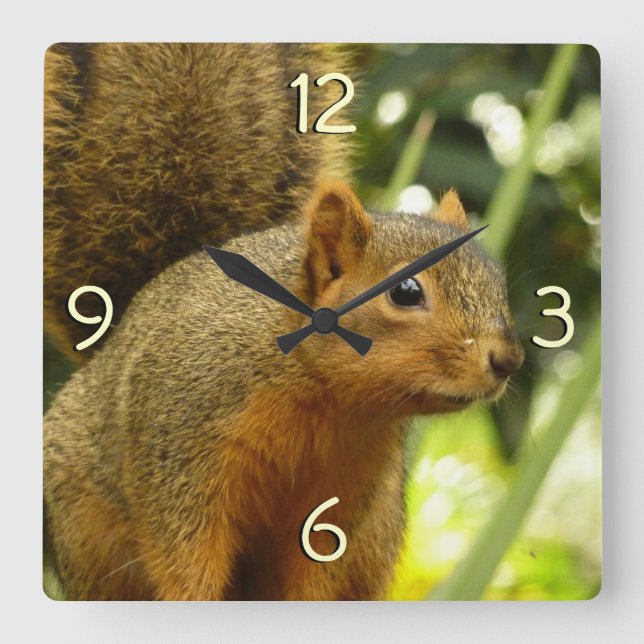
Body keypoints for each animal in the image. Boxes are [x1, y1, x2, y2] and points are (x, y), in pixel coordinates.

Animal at [43, 43, 524, 601]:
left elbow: (317, 567)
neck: (327, 400)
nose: (508, 360)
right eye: (406, 292)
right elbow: (183, 556)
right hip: (84, 527)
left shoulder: (346, 491)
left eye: (497, 280)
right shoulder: (179, 450)